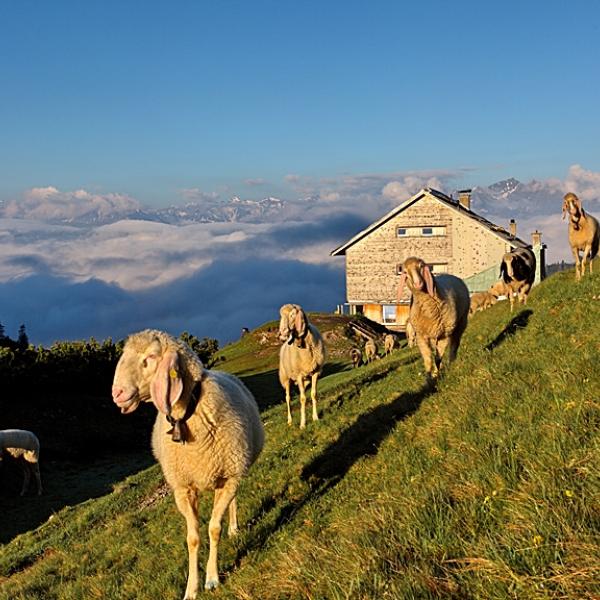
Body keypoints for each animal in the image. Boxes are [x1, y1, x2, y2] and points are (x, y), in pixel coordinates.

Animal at [111, 330, 264, 596]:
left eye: (150, 357)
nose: (116, 394)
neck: (189, 412)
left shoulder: (229, 477)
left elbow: (214, 529)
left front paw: (212, 578)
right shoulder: (183, 489)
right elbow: (192, 538)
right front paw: (191, 589)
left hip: (235, 468)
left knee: (232, 501)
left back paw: (234, 528)